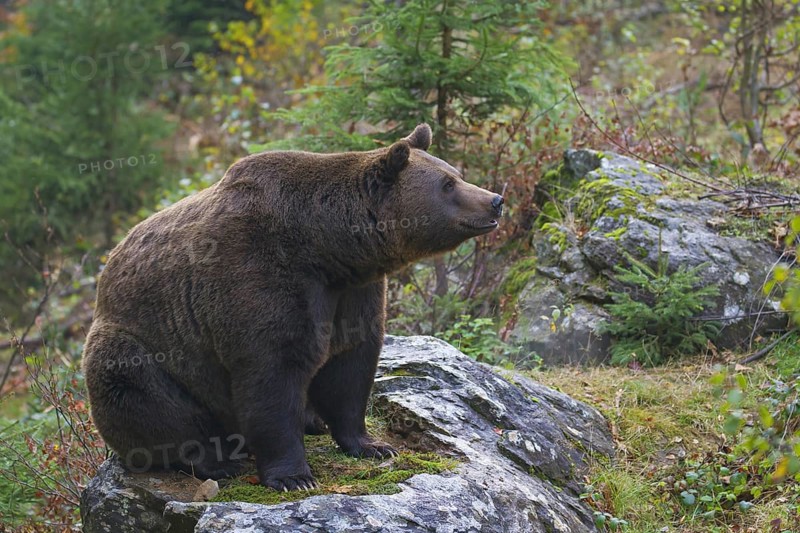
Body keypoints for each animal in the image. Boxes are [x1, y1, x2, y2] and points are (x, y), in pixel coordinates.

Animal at [82, 124, 504, 491]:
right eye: (447, 185)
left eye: (455, 172)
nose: (496, 201)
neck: (326, 247)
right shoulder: (257, 275)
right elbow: (272, 372)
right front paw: (294, 476)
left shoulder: (353, 291)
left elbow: (351, 363)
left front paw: (372, 445)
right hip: (138, 347)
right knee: (146, 397)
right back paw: (215, 460)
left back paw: (312, 421)